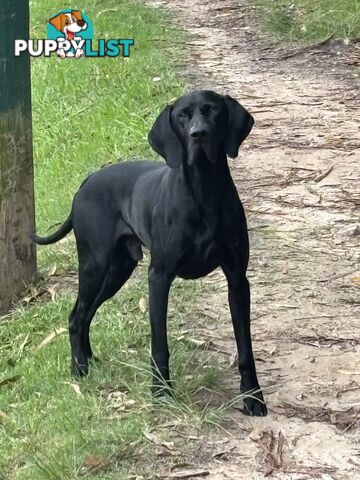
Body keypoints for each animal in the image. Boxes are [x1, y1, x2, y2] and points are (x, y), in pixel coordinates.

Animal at [31, 91, 266, 416]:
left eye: (213, 111)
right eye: (182, 115)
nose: (199, 134)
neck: (203, 191)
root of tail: (87, 181)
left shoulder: (237, 280)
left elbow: (245, 347)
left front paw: (253, 397)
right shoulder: (159, 277)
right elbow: (159, 345)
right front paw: (161, 392)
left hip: (118, 270)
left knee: (86, 314)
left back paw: (90, 361)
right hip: (94, 265)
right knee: (76, 315)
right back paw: (79, 369)